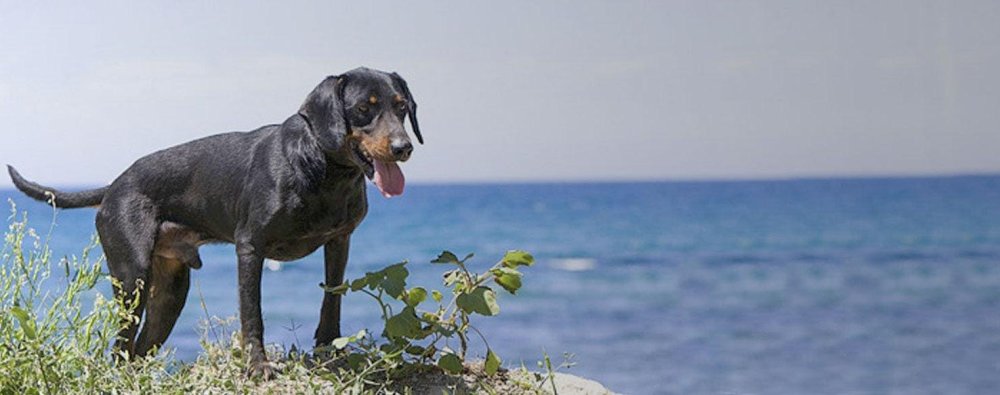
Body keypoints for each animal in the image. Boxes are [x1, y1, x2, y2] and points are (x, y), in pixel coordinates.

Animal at [4, 65, 418, 378]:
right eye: (364, 108)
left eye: (402, 107)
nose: (404, 148)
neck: (323, 170)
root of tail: (114, 186)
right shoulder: (250, 247)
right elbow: (252, 315)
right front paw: (257, 368)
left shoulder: (339, 241)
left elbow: (332, 299)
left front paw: (331, 352)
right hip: (132, 278)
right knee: (121, 346)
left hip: (169, 292)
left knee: (138, 349)